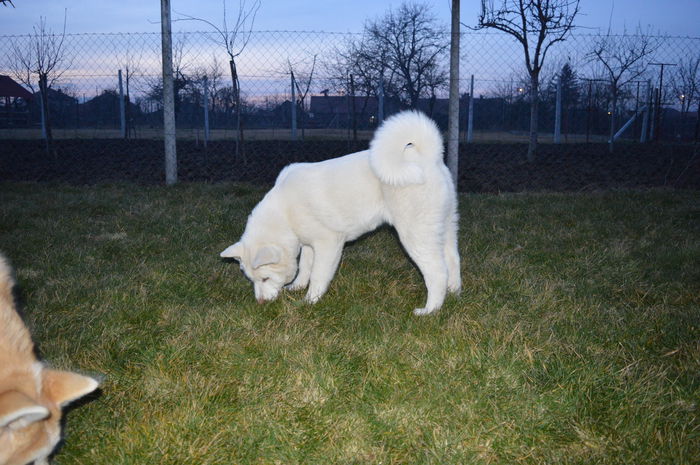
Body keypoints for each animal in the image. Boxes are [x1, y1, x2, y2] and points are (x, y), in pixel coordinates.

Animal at [223, 110, 460, 314]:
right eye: (251, 279)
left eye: (264, 279)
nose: (260, 303)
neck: (285, 213)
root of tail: (429, 157)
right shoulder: (308, 243)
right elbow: (305, 267)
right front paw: (297, 287)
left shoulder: (329, 243)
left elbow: (318, 275)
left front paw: (310, 301)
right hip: (445, 227)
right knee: (453, 259)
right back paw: (454, 294)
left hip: (415, 234)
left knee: (437, 271)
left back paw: (430, 310)